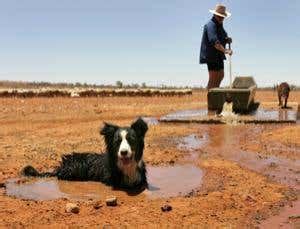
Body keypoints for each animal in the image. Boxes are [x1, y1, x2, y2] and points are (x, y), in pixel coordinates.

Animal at [20, 118, 148, 190]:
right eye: (117, 141)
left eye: (132, 140)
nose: (124, 152)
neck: (127, 167)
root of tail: (61, 165)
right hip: (76, 166)